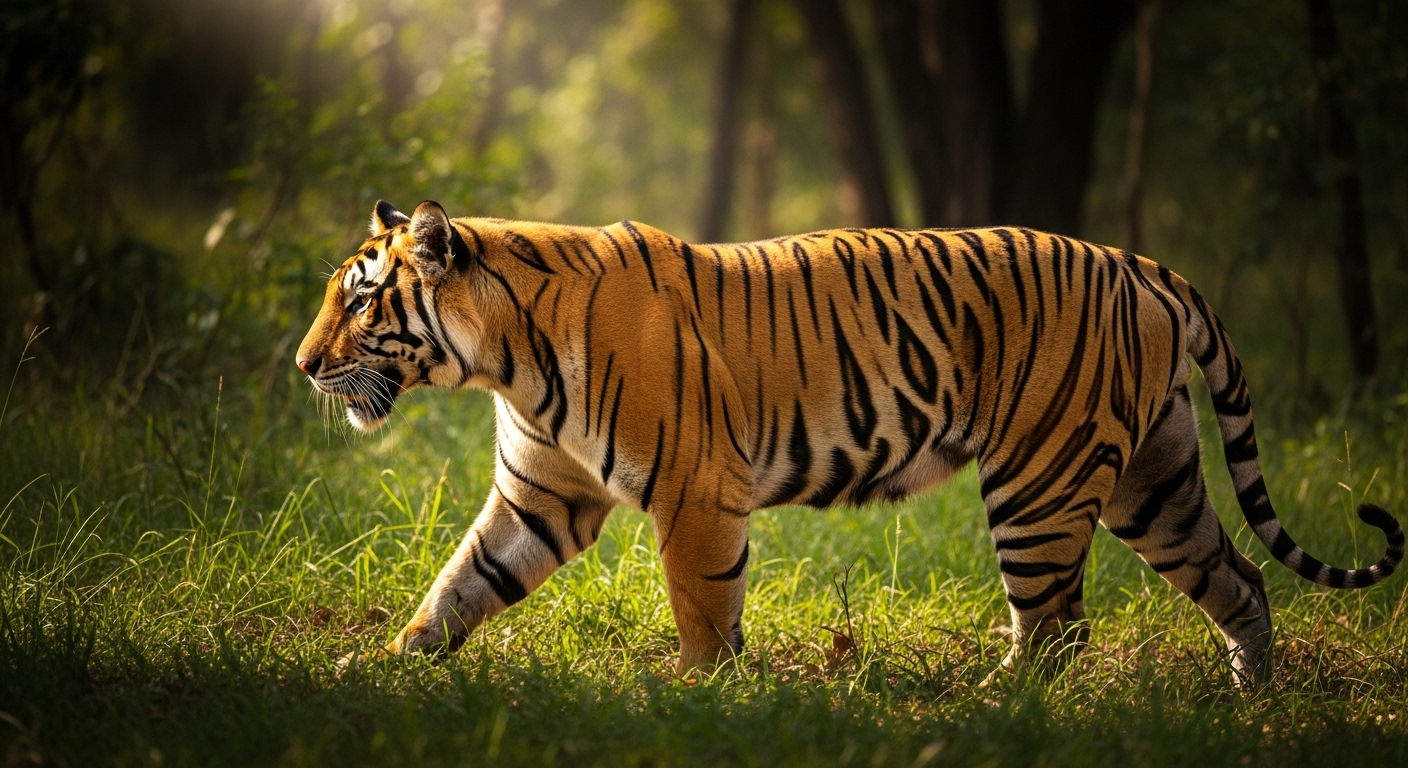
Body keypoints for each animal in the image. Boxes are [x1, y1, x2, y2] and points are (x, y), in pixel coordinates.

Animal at [297, 199, 1403, 683]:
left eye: (361, 301)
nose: (304, 365)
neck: (501, 358)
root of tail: (1141, 264)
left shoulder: (695, 495)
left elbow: (704, 615)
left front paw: (699, 701)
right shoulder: (542, 496)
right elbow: (458, 586)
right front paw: (385, 667)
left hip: (1040, 484)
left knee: (1056, 632)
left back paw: (995, 711)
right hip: (1154, 479)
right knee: (1241, 581)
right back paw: (1249, 706)